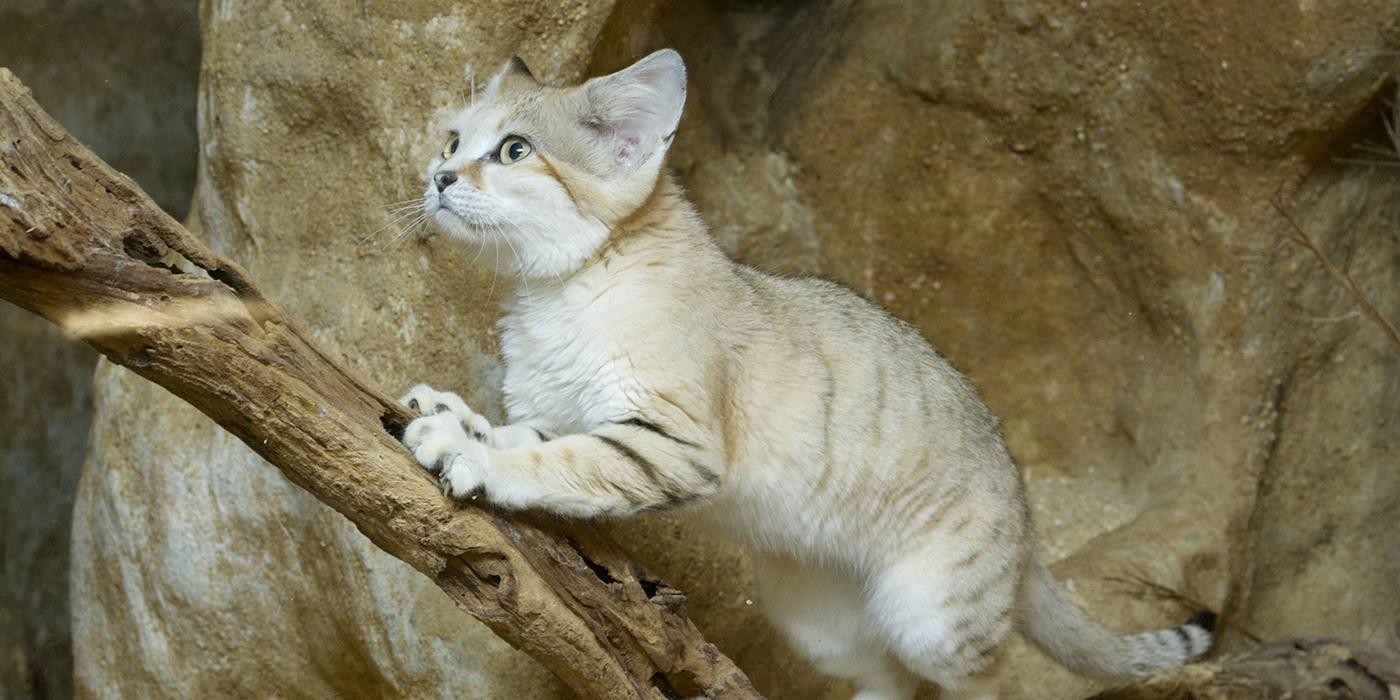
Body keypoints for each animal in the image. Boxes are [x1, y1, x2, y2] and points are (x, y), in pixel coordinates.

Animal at [397, 50, 1215, 700]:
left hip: (936, 617)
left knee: (984, 680)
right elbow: (528, 435)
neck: (559, 287)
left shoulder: (668, 438)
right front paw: (455, 417)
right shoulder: (569, 410)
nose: (438, 175)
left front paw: (468, 453)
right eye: (454, 138)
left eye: (513, 151)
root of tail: (1023, 512)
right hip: (817, 613)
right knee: (887, 677)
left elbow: (556, 461)